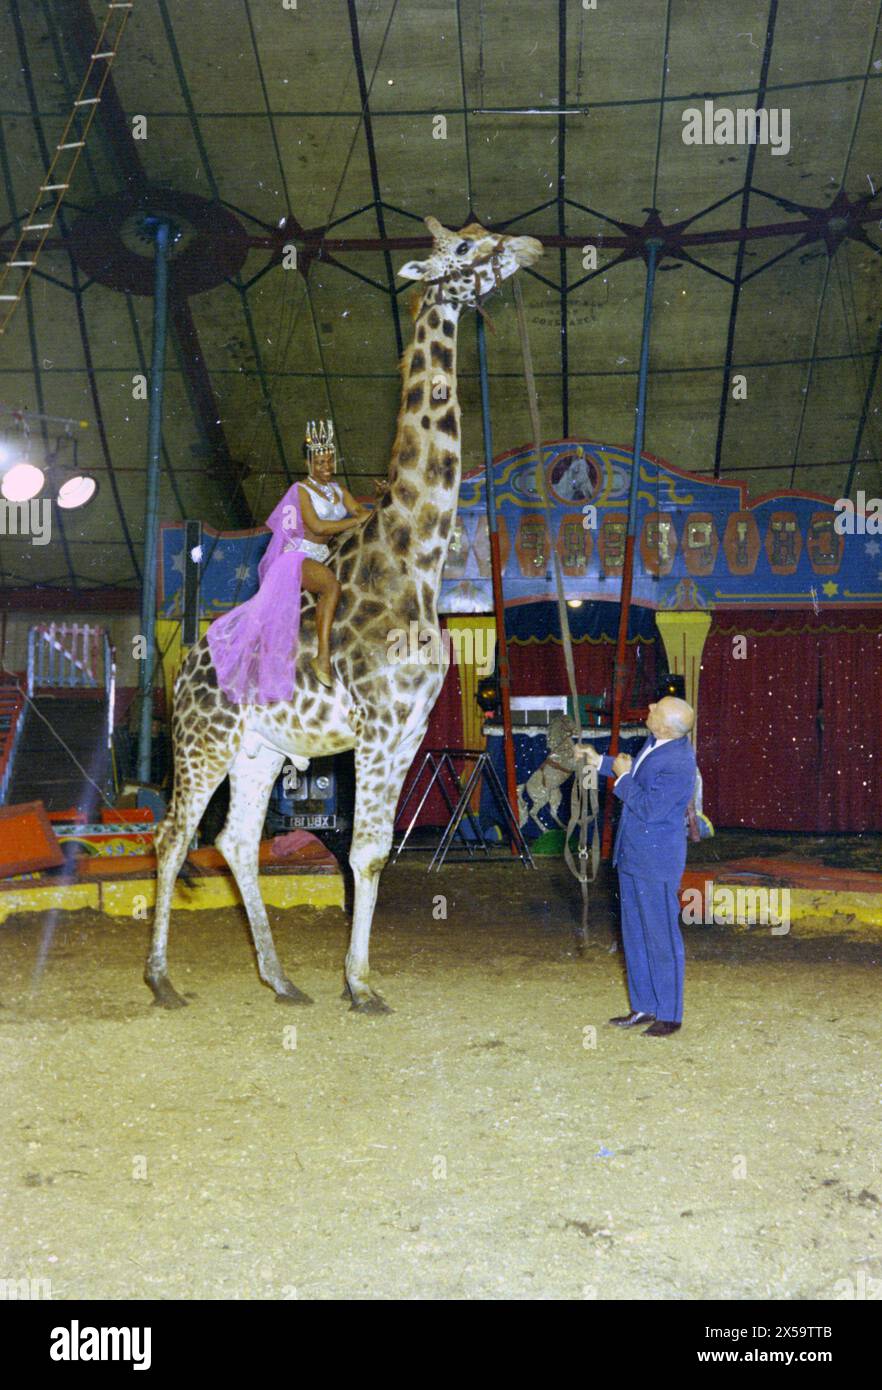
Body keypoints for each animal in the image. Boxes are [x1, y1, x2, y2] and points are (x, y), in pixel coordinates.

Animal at [148, 219, 541, 1023]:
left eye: (483, 232)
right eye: (463, 249)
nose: (526, 247)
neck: (416, 561)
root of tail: (181, 673)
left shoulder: (412, 730)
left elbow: (379, 850)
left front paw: (351, 978)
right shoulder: (381, 729)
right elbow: (362, 851)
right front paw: (360, 985)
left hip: (260, 749)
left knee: (234, 842)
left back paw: (281, 980)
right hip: (203, 743)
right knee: (172, 838)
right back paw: (164, 982)